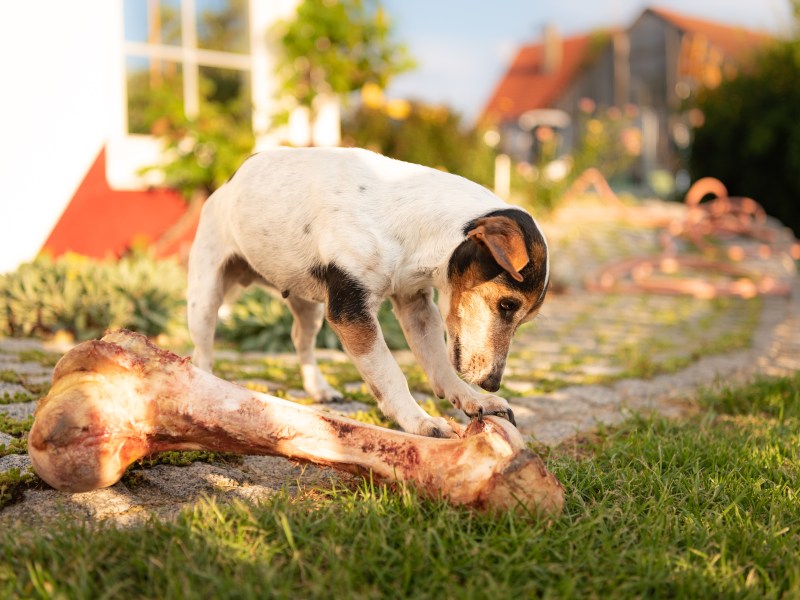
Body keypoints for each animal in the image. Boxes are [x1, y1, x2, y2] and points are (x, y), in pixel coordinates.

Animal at [188, 148, 552, 438]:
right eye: (507, 304)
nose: (493, 383)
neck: (411, 223)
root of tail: (225, 185)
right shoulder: (351, 312)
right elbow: (390, 374)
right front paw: (419, 421)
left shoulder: (415, 305)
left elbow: (438, 363)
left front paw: (473, 399)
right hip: (205, 298)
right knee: (202, 351)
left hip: (310, 305)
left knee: (300, 340)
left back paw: (319, 388)